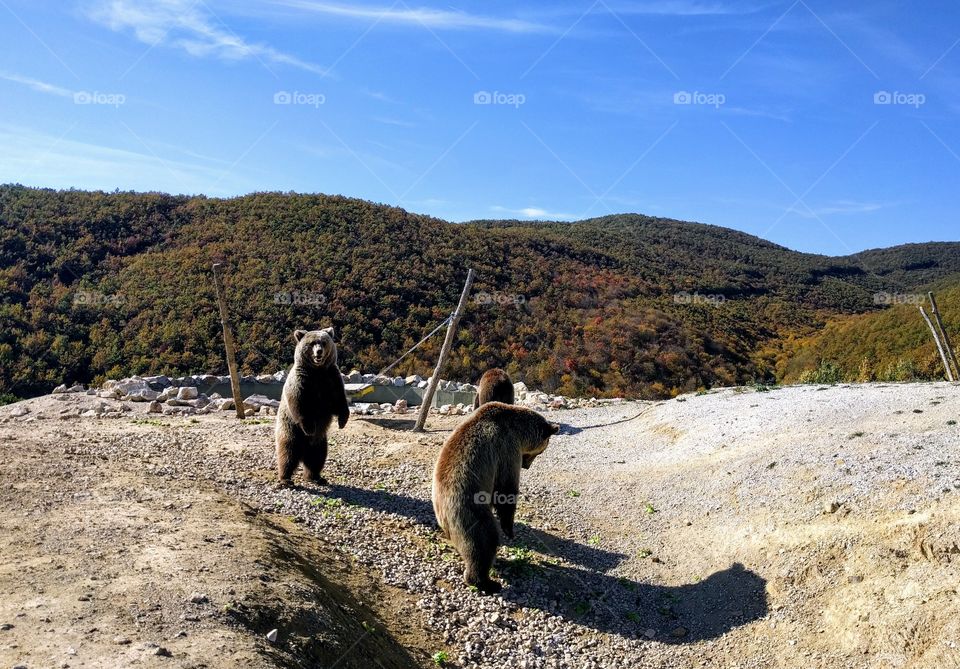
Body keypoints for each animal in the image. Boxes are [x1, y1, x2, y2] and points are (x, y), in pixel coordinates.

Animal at [275, 327, 349, 485]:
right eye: (312, 343)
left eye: (323, 342)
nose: (319, 351)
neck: (317, 371)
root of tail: (304, 450)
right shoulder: (302, 381)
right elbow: (298, 403)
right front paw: (309, 427)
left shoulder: (331, 378)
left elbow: (340, 400)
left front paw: (342, 421)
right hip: (290, 430)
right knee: (287, 454)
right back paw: (285, 479)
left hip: (320, 440)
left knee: (317, 457)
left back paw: (315, 477)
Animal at [432, 402, 559, 593]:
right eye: (541, 450)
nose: (527, 466)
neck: (519, 430)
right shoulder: (505, 450)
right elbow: (506, 490)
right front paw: (509, 529)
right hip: (470, 512)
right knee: (484, 541)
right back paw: (486, 582)